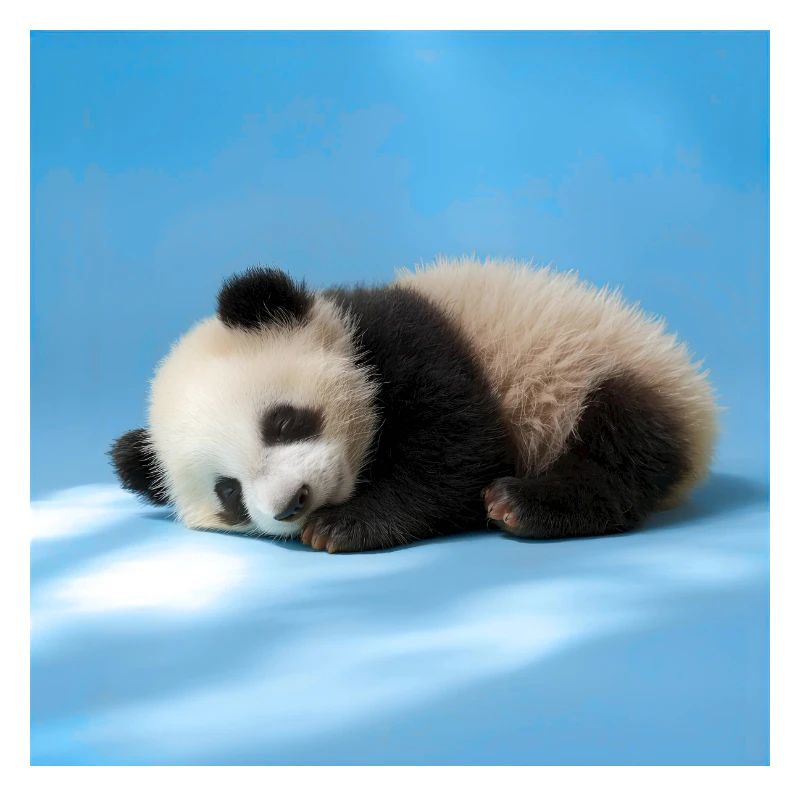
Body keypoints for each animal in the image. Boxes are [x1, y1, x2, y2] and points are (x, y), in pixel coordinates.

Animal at [111, 256, 717, 553]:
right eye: (228, 493)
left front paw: (343, 526)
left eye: (282, 422)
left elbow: (458, 447)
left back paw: (525, 503)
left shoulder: (412, 341)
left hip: (600, 368)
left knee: (621, 443)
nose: (292, 504)